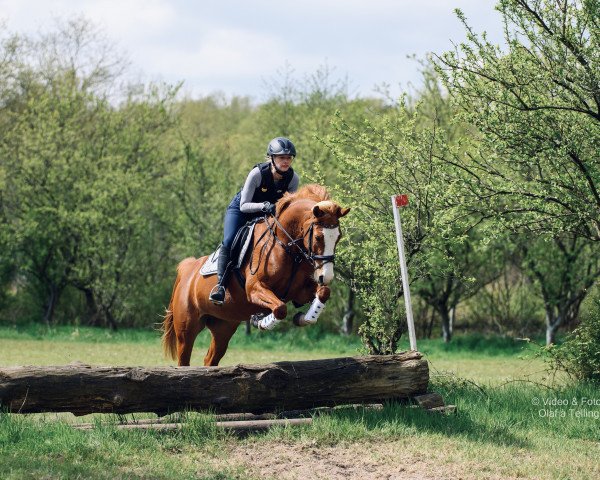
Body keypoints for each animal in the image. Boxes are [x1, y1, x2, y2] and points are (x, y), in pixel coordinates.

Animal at [159, 184, 350, 368]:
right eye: (318, 237)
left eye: (338, 237)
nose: (326, 276)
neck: (286, 245)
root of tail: (187, 269)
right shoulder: (254, 289)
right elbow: (280, 309)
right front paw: (261, 321)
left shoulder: (300, 292)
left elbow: (323, 293)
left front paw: (303, 318)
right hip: (186, 329)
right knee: (184, 359)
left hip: (223, 326)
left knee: (210, 359)